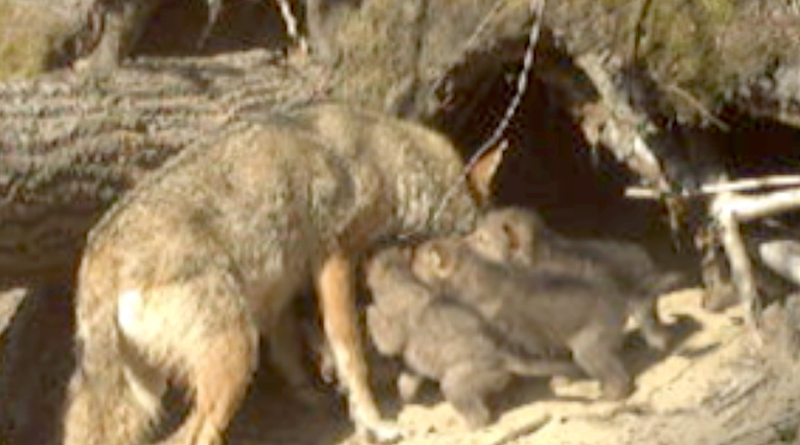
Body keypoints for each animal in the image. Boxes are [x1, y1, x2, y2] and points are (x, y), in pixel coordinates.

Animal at [61, 103, 501, 445]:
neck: (386, 158)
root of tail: (100, 255)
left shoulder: (279, 294)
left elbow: (294, 354)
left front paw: (319, 396)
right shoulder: (335, 258)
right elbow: (351, 349)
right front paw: (374, 421)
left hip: (142, 398)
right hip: (234, 361)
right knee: (193, 436)